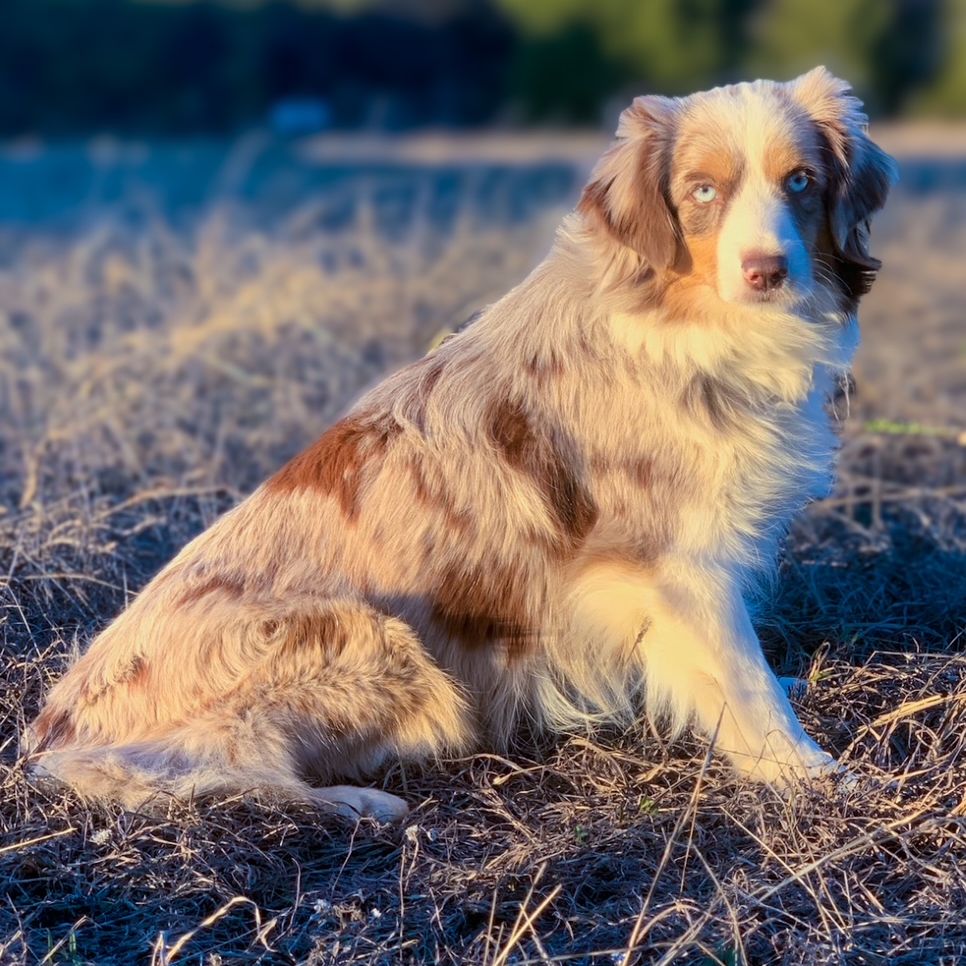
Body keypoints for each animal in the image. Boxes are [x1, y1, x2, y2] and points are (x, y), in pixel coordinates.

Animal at [24, 68, 900, 824]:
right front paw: (809, 772)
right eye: (703, 191)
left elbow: (734, 670)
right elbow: (742, 676)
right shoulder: (673, 559)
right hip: (367, 636)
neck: (685, 322)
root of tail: (49, 729)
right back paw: (357, 801)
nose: (766, 271)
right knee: (198, 765)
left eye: (800, 181)